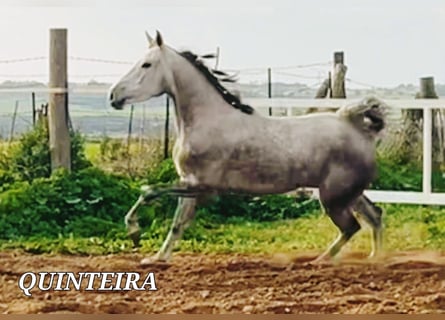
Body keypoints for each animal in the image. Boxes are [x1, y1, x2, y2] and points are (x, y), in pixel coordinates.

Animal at [108, 30, 386, 264]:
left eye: (146, 64)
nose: (113, 96)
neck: (208, 121)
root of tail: (355, 126)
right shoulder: (189, 182)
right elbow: (177, 223)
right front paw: (157, 258)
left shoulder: (204, 187)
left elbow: (150, 191)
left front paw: (134, 233)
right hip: (348, 194)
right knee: (375, 214)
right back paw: (374, 259)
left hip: (333, 197)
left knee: (351, 226)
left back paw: (320, 261)